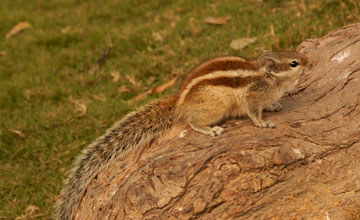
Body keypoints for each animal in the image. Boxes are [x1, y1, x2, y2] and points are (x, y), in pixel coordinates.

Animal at [54, 51, 308, 218]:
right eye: (294, 63)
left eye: (295, 55)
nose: (309, 62)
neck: (267, 76)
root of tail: (180, 103)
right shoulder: (252, 97)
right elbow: (254, 112)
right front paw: (262, 123)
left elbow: (268, 104)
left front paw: (274, 106)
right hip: (213, 108)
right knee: (192, 122)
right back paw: (210, 129)